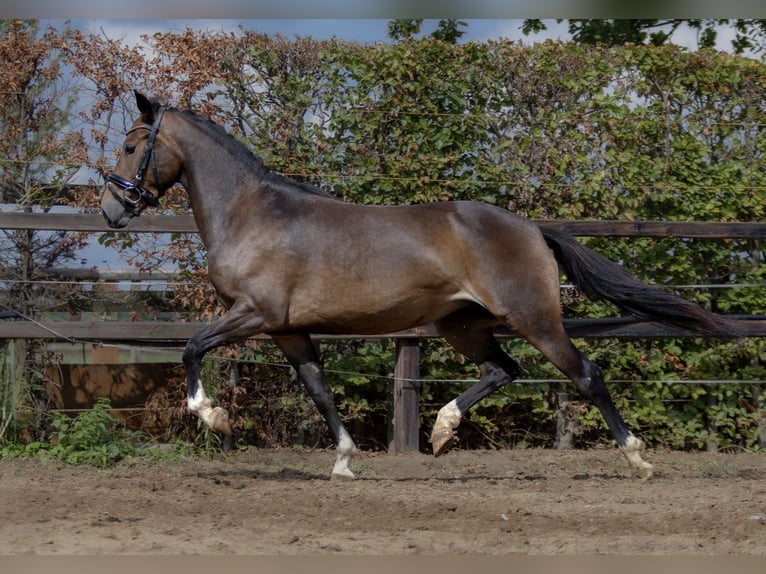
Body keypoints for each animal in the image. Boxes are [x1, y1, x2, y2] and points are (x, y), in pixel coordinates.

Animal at [101, 91, 740, 481]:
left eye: (132, 146)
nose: (111, 208)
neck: (253, 214)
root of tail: (532, 227)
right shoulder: (288, 330)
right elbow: (320, 391)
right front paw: (344, 461)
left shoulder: (253, 313)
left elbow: (190, 349)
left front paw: (213, 418)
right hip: (461, 325)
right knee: (502, 370)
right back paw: (440, 431)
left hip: (535, 319)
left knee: (586, 375)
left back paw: (637, 459)